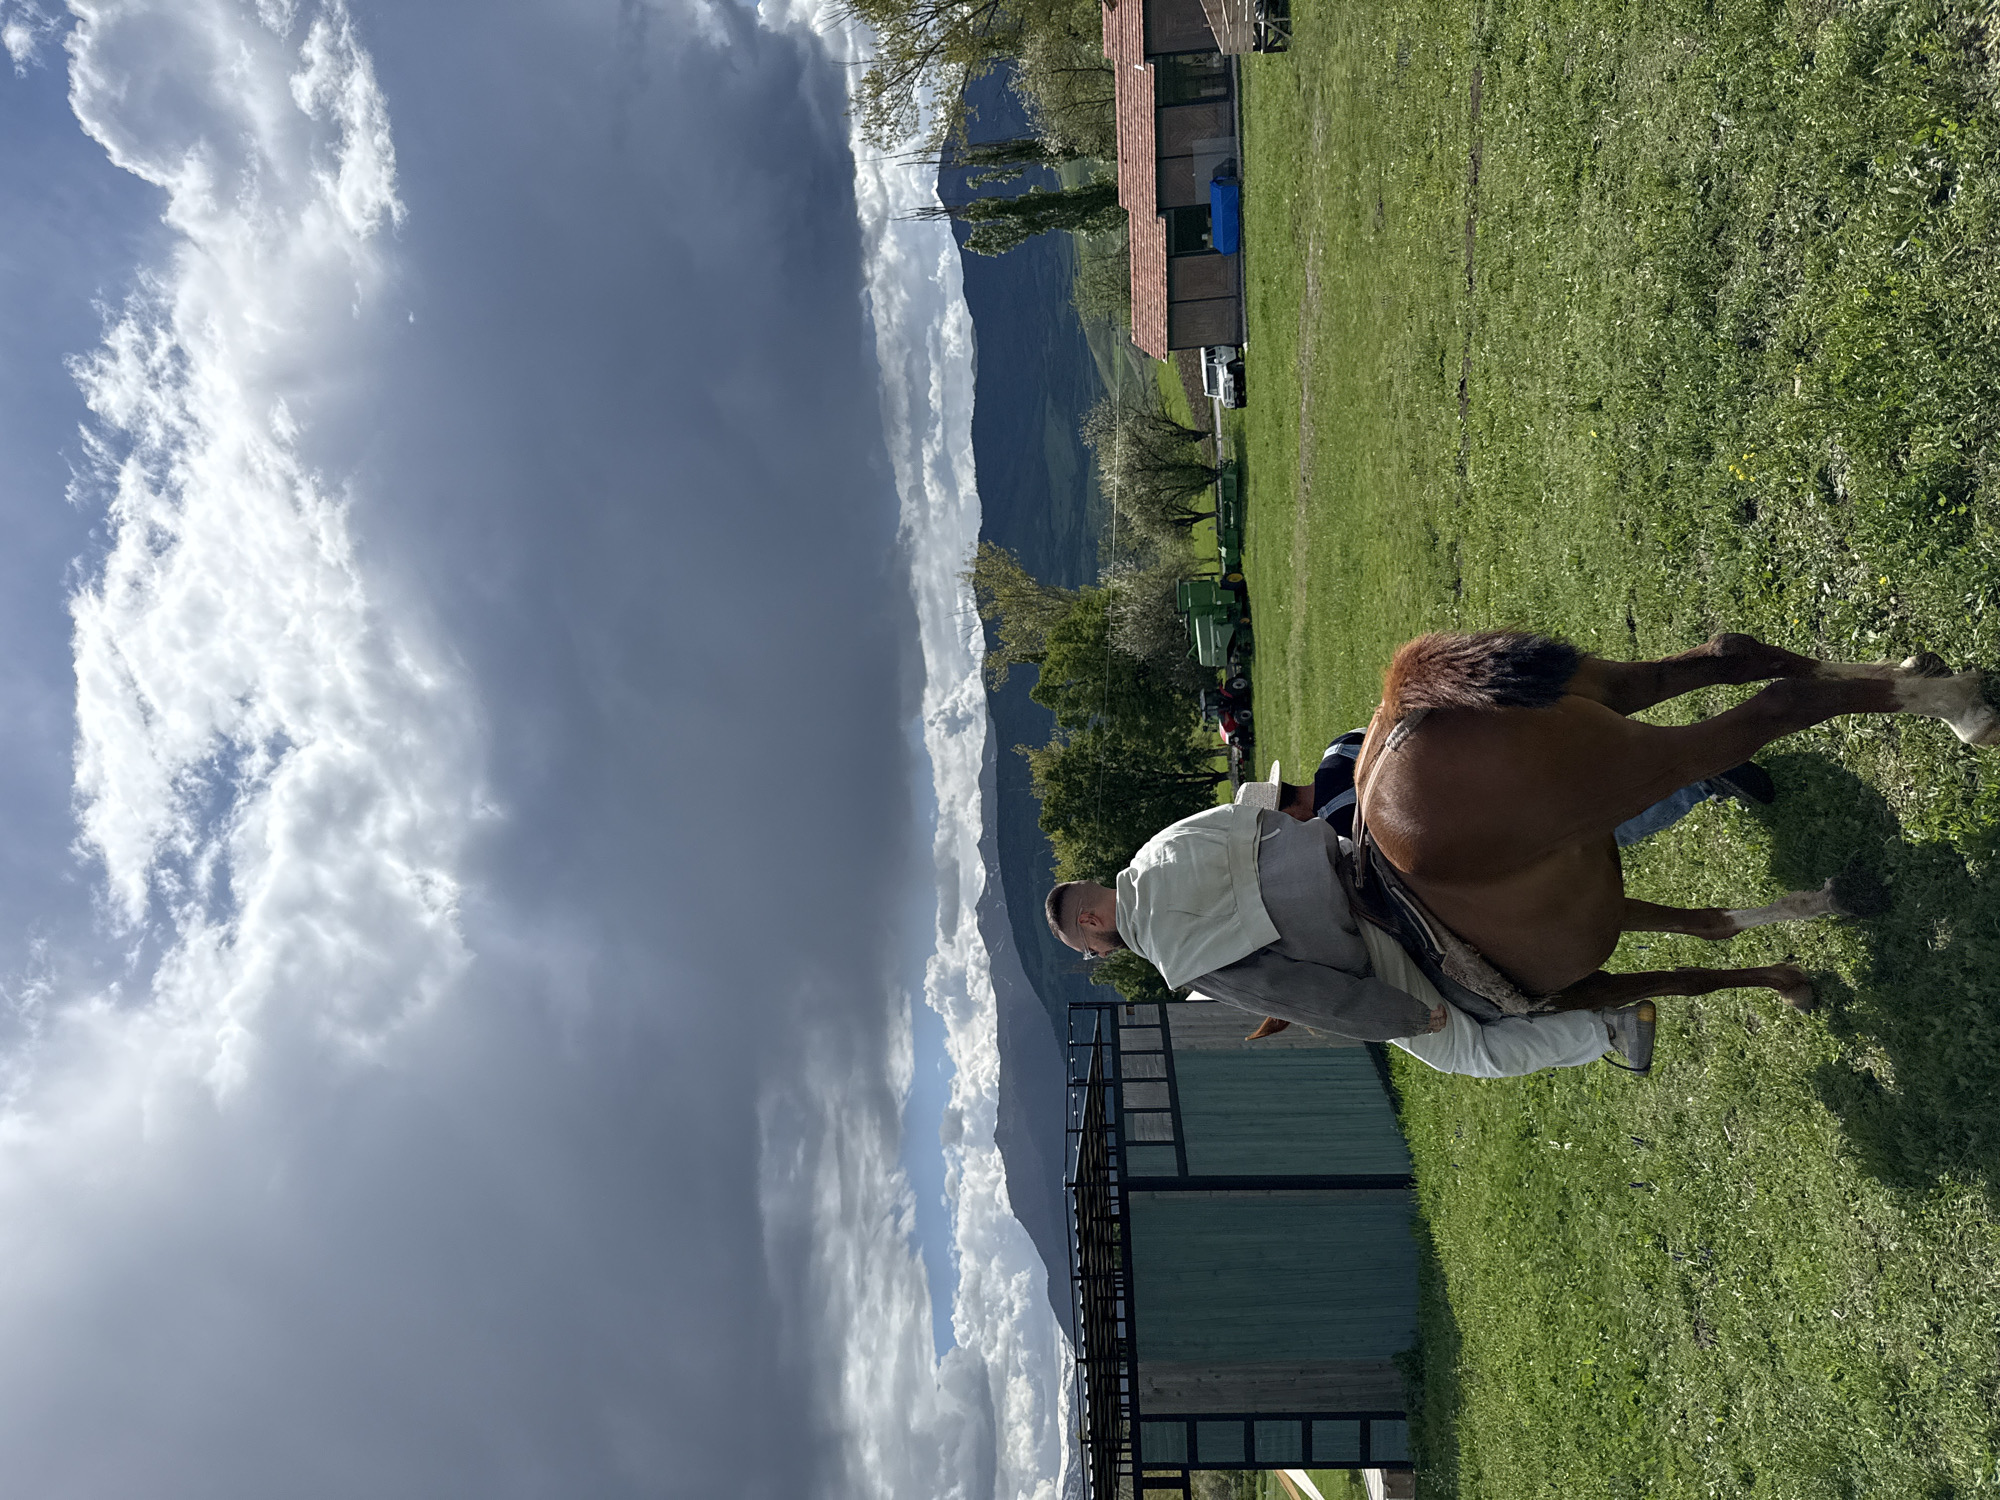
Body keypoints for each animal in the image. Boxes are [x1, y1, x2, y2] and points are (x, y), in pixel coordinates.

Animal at [1350, 630, 1998, 1014]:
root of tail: (1399, 706)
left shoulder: (1581, 988)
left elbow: (1685, 979)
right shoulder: (1601, 902)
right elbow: (1707, 930)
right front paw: (1828, 913)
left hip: (1638, 767)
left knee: (1778, 702)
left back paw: (1962, 707)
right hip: (1610, 691)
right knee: (1734, 654)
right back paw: (1923, 671)